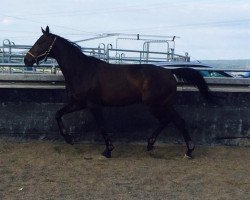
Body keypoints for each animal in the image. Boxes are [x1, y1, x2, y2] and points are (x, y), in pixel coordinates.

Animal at [24, 26, 214, 158]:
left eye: (41, 42)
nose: (26, 60)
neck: (82, 70)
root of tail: (170, 73)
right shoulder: (78, 103)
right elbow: (58, 114)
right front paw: (69, 139)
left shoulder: (93, 105)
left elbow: (102, 126)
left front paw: (108, 150)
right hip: (164, 104)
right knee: (177, 121)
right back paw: (184, 150)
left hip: (155, 104)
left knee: (168, 120)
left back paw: (163, 146)